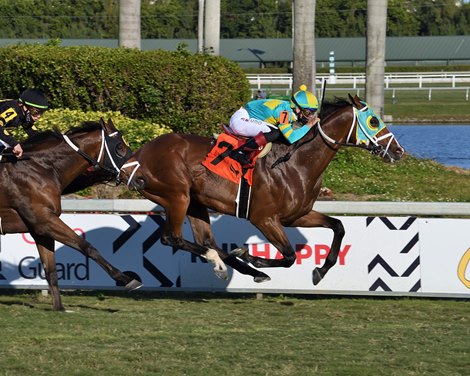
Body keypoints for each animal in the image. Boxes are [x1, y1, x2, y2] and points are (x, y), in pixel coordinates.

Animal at [0, 118, 142, 312]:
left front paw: (59, 307)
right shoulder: (44, 221)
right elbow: (87, 246)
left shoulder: (40, 228)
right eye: (120, 147)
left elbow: (51, 269)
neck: (41, 168)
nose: (140, 179)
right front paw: (127, 279)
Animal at [120, 94, 404, 284]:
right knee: (173, 238)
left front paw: (320, 270)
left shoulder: (296, 216)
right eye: (374, 120)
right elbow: (289, 255)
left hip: (195, 202)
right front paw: (254, 257)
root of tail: (136, 157)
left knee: (206, 241)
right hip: (176, 196)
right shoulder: (264, 218)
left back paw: (232, 264)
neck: (295, 163)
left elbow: (338, 226)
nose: (399, 150)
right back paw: (228, 261)